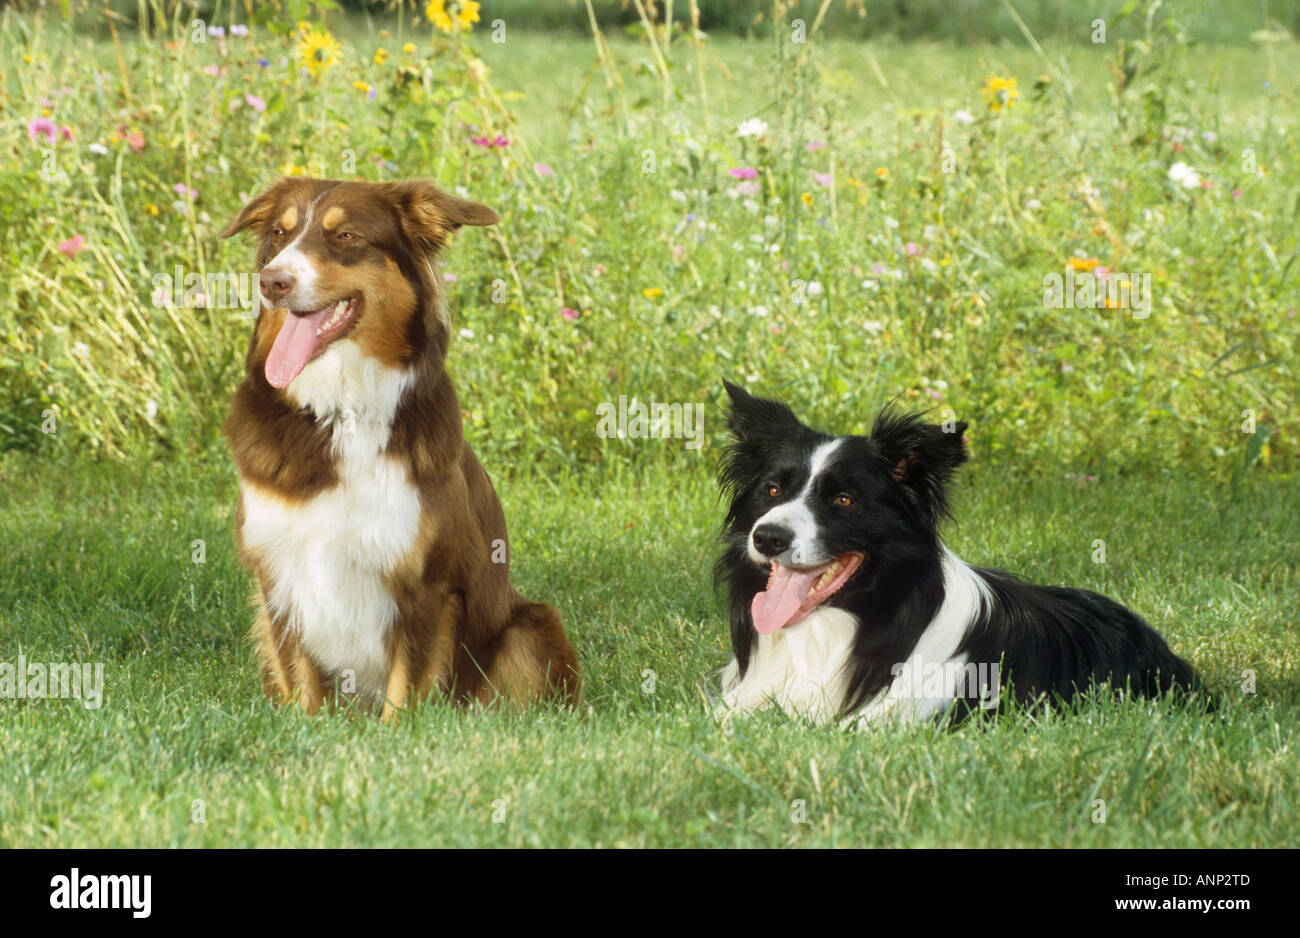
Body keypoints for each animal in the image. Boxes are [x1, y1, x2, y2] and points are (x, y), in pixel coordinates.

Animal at [222, 175, 579, 717]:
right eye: (280, 234)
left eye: (346, 236)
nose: (272, 281)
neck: (340, 413)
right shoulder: (278, 573)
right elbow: (300, 680)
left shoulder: (426, 579)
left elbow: (404, 687)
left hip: (531, 624)